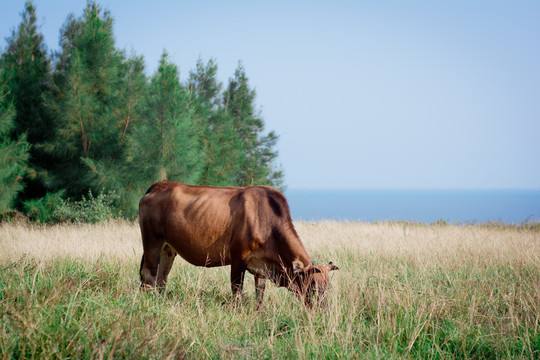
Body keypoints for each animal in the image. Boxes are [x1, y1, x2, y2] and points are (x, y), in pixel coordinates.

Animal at [138, 181, 338, 308]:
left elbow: (260, 293)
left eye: (328, 288)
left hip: (167, 249)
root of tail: (158, 186)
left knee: (162, 277)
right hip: (152, 243)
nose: (324, 311)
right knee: (148, 275)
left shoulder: (261, 267)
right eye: (313, 287)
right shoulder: (237, 258)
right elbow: (237, 289)